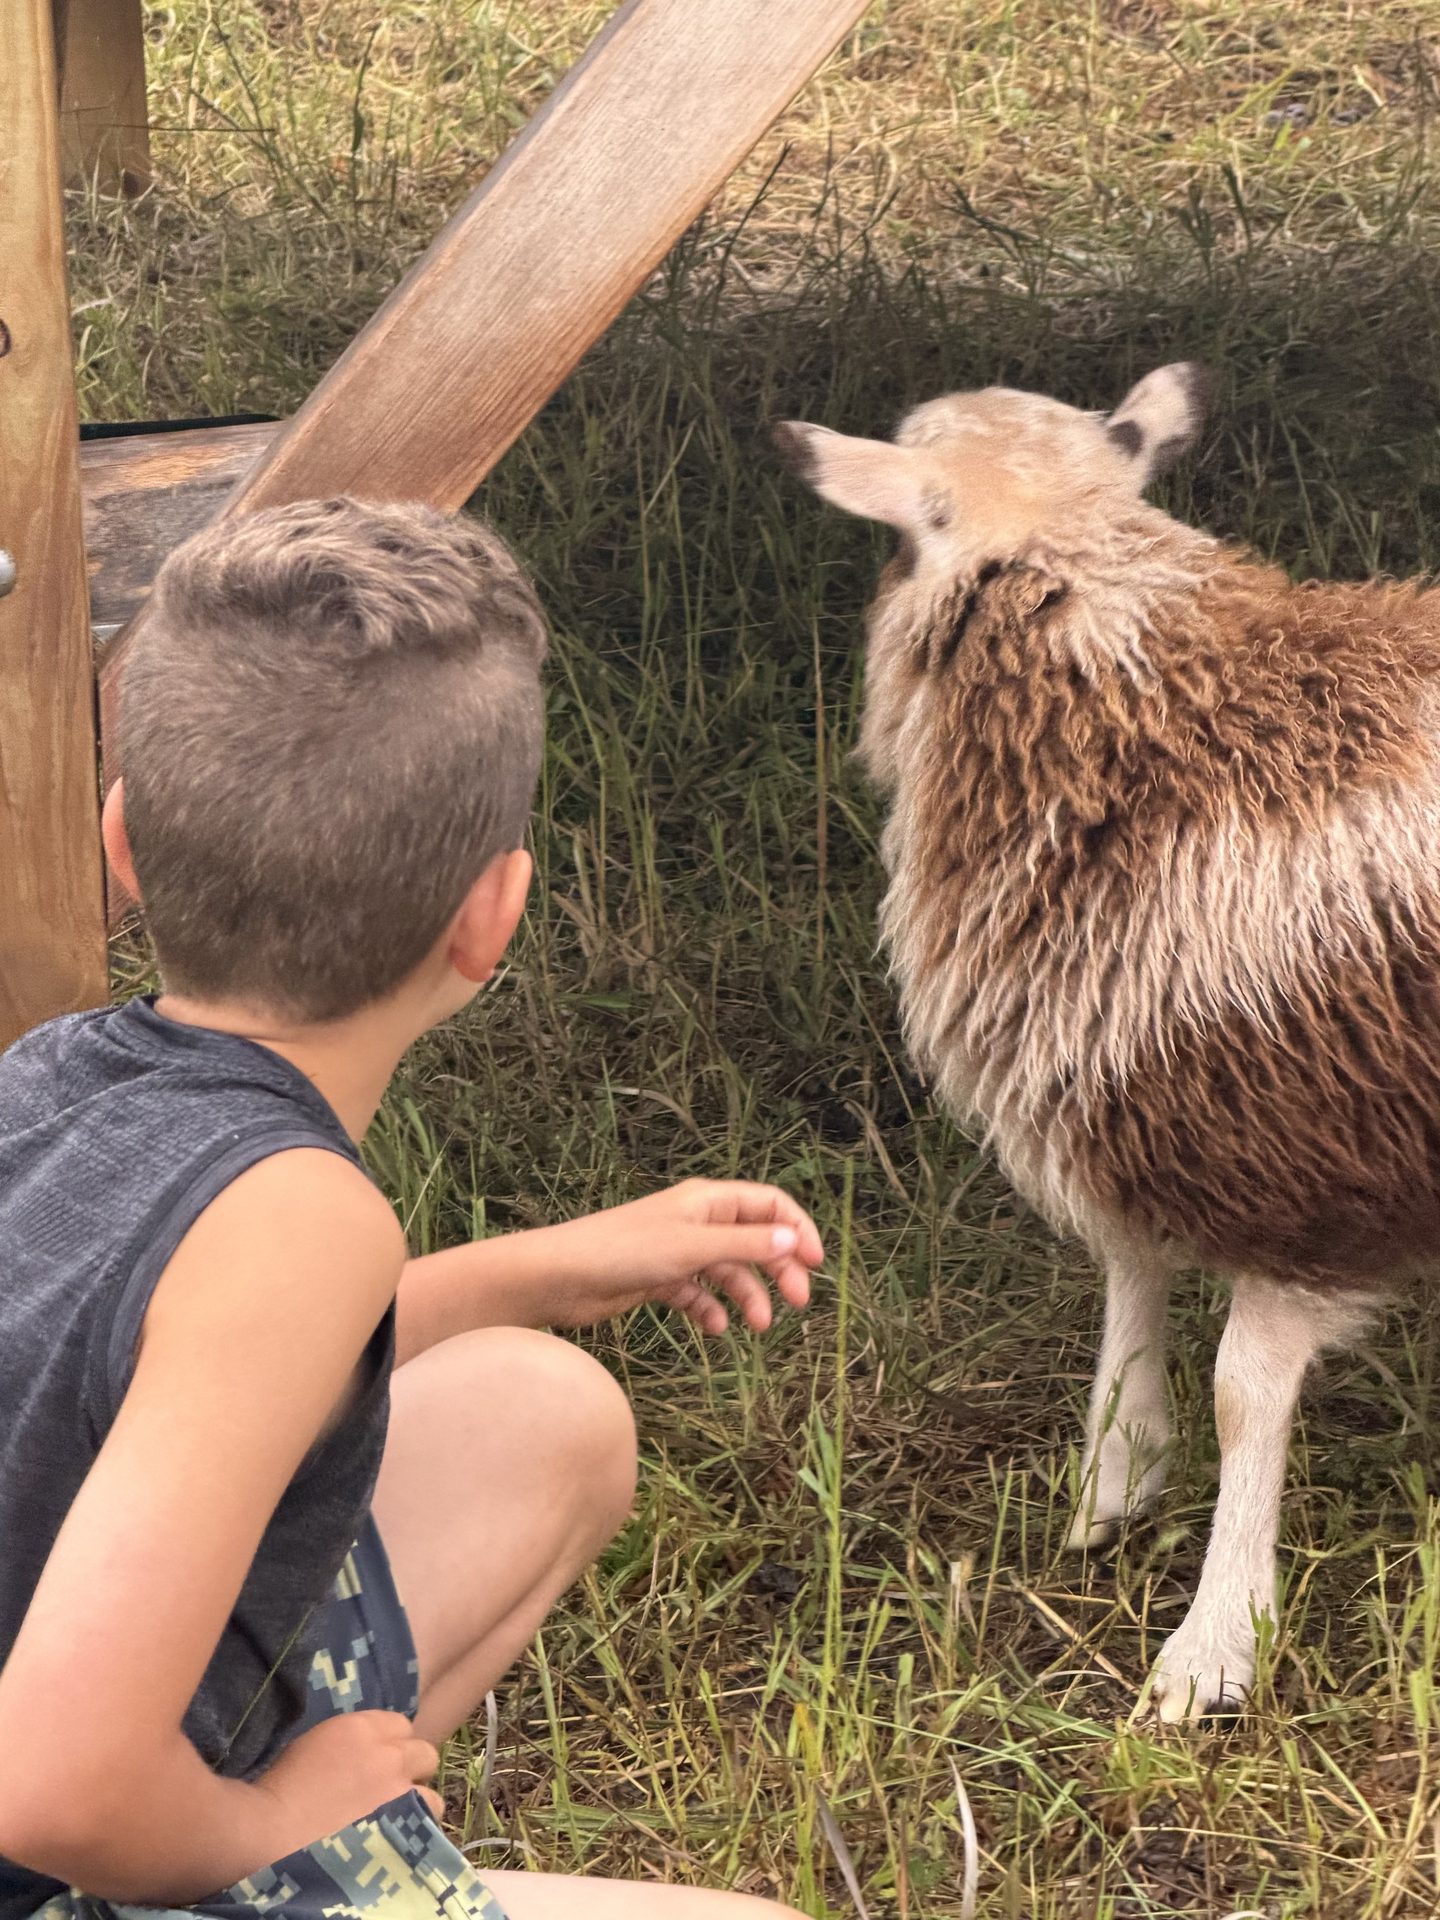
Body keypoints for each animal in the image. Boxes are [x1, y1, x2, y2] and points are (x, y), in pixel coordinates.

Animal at [776, 365, 1440, 1721]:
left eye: (900, 536)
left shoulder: (1308, 1153)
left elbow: (1246, 1396)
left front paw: (1214, 1643)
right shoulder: (1131, 1073)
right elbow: (1129, 1262)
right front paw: (1116, 1472)